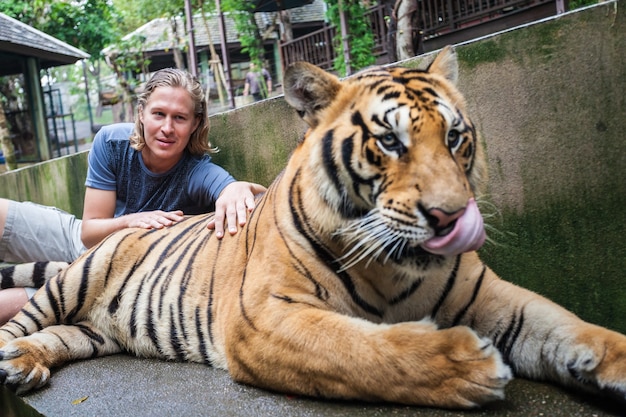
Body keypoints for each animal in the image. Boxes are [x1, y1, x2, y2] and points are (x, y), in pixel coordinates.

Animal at [0, 47, 620, 408]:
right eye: (389, 141)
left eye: (455, 137)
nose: (449, 217)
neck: (396, 270)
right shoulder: (263, 318)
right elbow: (358, 350)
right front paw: (465, 364)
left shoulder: (490, 296)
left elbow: (568, 326)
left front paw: (613, 359)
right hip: (74, 281)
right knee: (22, 319)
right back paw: (11, 357)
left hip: (97, 330)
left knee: (59, 337)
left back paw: (26, 365)